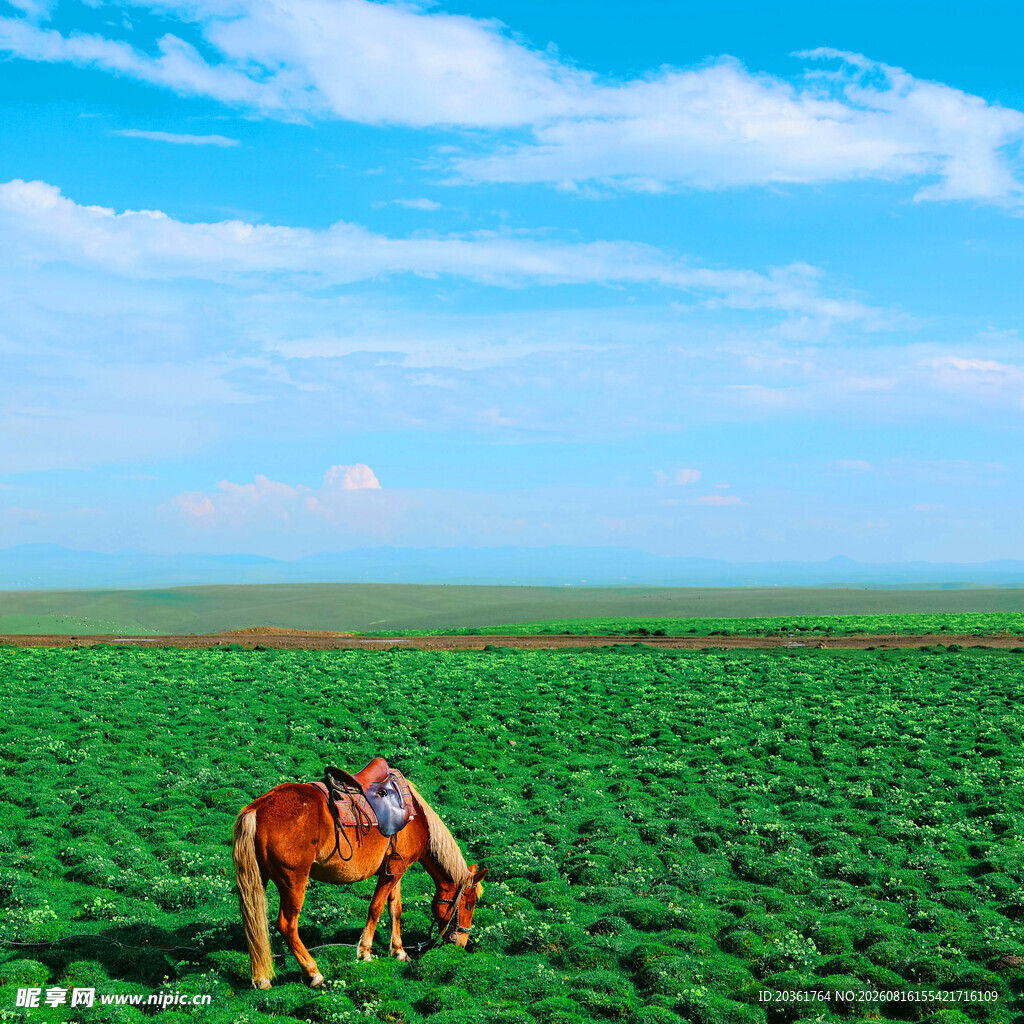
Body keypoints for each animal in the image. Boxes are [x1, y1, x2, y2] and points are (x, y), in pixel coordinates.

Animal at [232, 776, 488, 989]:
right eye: (469, 905)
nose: (461, 943)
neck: (416, 818)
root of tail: (257, 809)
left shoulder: (396, 870)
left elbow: (395, 909)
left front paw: (399, 951)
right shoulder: (392, 873)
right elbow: (375, 908)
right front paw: (365, 952)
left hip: (260, 879)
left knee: (255, 924)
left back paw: (261, 978)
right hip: (294, 882)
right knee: (287, 925)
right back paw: (314, 973)